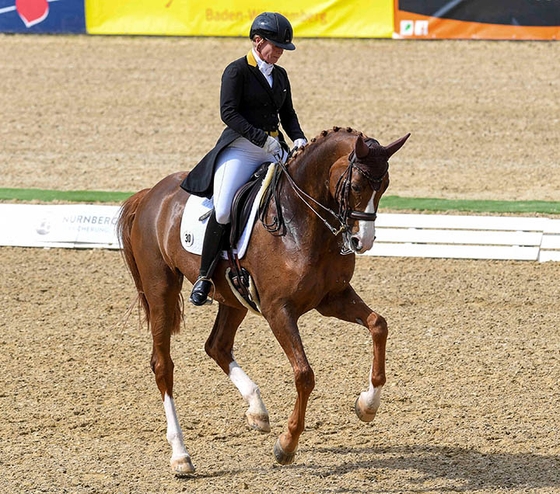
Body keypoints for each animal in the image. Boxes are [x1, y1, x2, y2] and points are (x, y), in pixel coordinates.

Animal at [118, 126, 410, 474]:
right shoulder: (278, 310)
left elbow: (379, 325)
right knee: (163, 365)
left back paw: (257, 411)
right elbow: (304, 375)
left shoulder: (332, 298)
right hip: (160, 289)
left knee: (217, 346)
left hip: (233, 297)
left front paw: (367, 405)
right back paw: (181, 455)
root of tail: (150, 194)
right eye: (355, 186)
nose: (360, 241)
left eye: (386, 185)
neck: (302, 223)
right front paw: (287, 444)